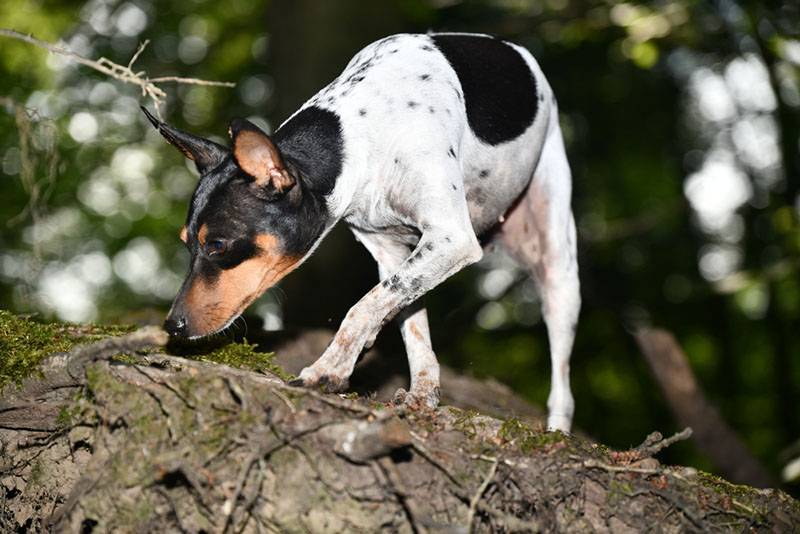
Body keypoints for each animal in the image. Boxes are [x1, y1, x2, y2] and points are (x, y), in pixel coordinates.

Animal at [142, 32, 580, 436]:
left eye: (217, 245)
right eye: (187, 244)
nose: (172, 326)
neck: (362, 131)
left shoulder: (450, 239)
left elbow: (362, 308)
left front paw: (328, 369)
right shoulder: (393, 253)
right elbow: (407, 322)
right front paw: (422, 395)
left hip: (557, 271)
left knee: (563, 384)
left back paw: (558, 431)